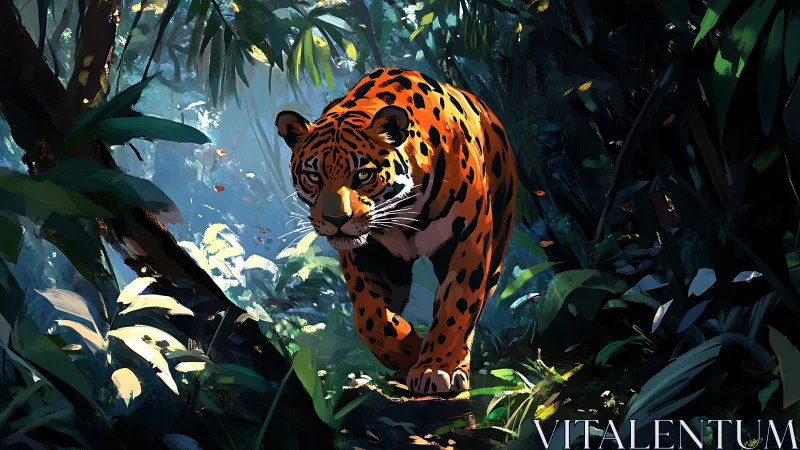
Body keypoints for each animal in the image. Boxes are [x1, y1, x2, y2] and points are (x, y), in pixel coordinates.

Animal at [275, 68, 516, 394]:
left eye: (363, 174)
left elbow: (456, 306)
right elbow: (371, 317)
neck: (404, 210)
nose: (336, 219)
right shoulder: (368, 253)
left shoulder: (467, 241)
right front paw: (408, 352)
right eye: (313, 176)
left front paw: (438, 368)